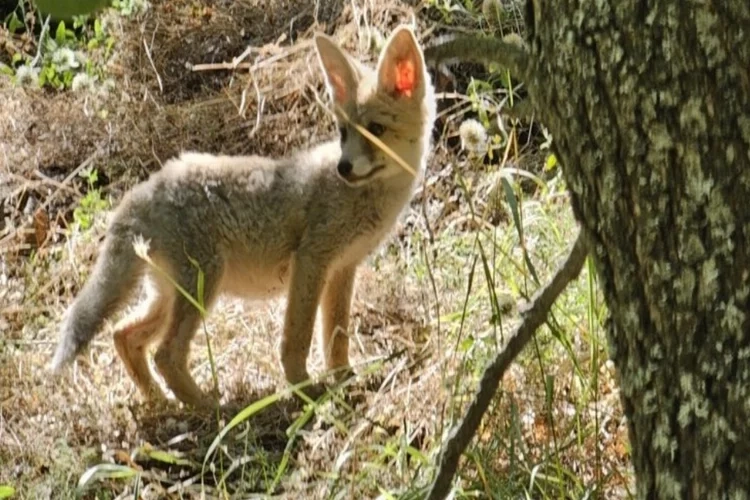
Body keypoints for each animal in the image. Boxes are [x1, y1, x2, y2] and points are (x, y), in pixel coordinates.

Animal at [50, 25, 438, 406]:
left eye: (376, 130)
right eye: (344, 132)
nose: (344, 168)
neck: (366, 199)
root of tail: (141, 191)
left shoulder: (343, 268)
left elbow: (336, 337)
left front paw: (344, 381)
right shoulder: (312, 260)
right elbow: (297, 338)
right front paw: (304, 389)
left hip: (170, 295)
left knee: (124, 336)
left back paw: (160, 401)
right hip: (203, 286)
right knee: (165, 354)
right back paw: (211, 408)